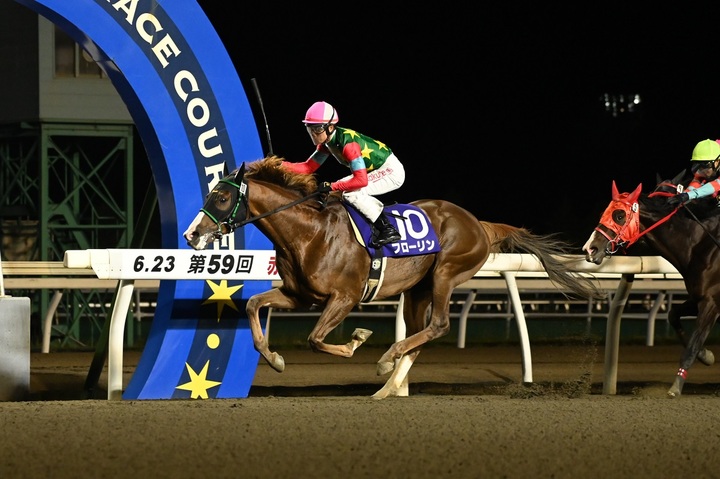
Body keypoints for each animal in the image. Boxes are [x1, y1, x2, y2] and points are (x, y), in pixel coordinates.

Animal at [184, 155, 603, 399]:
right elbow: (255, 305)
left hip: (446, 272)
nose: (192, 234)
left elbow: (316, 339)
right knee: (421, 334)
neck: (309, 232)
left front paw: (357, 340)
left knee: (439, 325)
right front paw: (274, 359)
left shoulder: (345, 296)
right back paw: (386, 388)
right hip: (418, 289)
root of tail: (479, 223)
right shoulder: (299, 295)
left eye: (221, 197)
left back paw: (387, 361)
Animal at [582, 169, 720, 398]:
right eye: (604, 212)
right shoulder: (697, 297)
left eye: (619, 215)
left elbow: (691, 346)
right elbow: (674, 316)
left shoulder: (711, 302)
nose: (590, 249)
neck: (700, 245)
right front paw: (707, 355)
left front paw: (675, 387)